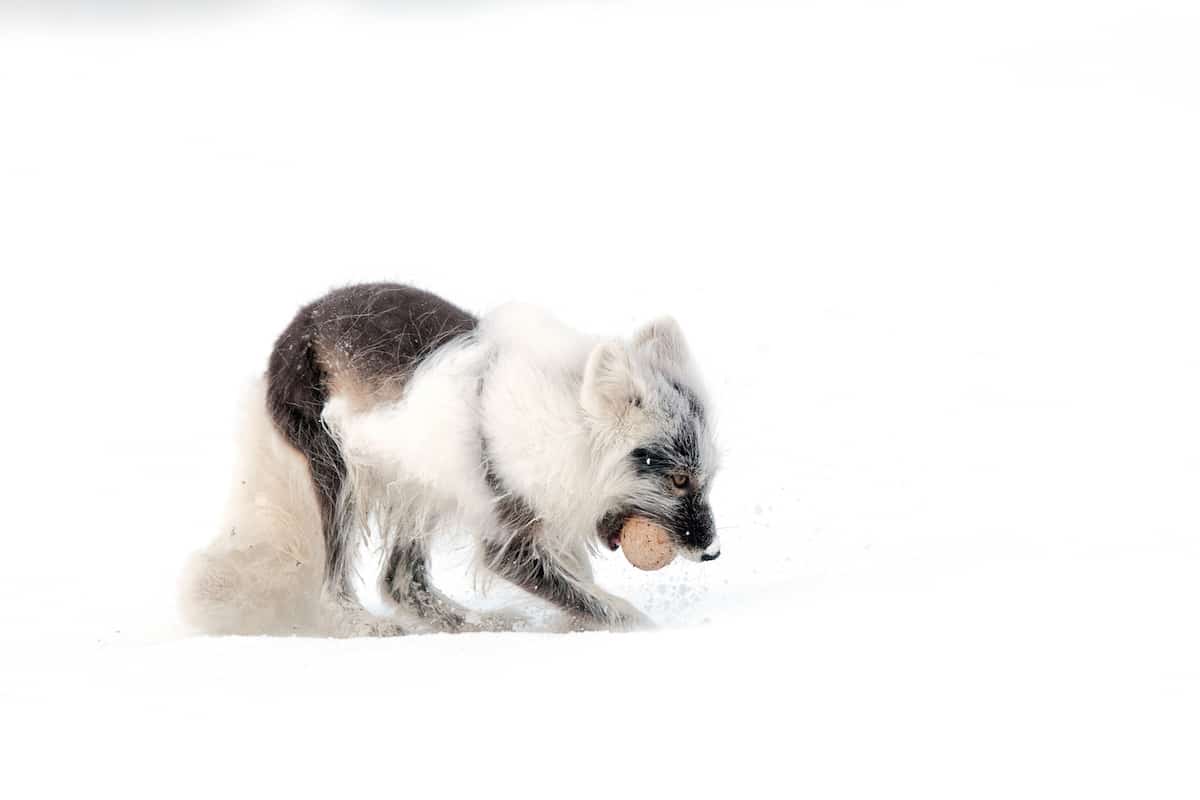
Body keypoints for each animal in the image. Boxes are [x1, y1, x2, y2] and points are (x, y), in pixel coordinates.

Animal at [180, 284, 720, 633]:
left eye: (706, 479)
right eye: (677, 480)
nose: (713, 553)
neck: (564, 423)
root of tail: (296, 324)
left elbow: (582, 585)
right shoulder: (508, 545)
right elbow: (604, 604)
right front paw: (645, 631)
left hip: (419, 485)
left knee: (401, 582)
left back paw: (479, 624)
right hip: (339, 472)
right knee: (336, 587)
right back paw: (365, 625)